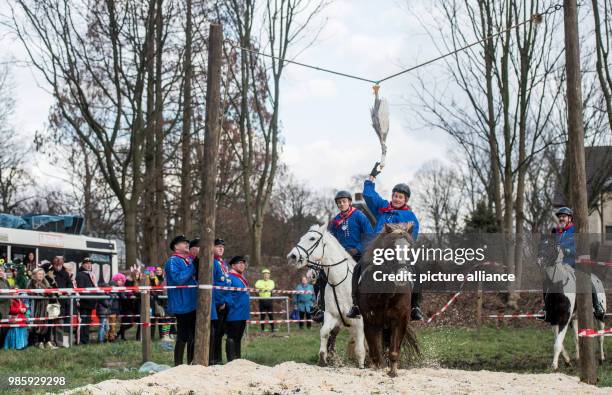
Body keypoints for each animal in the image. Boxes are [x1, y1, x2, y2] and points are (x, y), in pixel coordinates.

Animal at [286, 223, 366, 368]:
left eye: (312, 238)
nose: (292, 256)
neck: (340, 283)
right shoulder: (331, 315)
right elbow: (324, 333)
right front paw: (323, 358)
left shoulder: (360, 321)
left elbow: (360, 349)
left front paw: (362, 366)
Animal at [356, 224, 418, 378]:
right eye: (390, 249)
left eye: (410, 249)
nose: (402, 276)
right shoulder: (370, 321)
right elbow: (375, 352)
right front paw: (379, 368)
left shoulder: (400, 320)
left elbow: (394, 350)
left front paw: (393, 372)